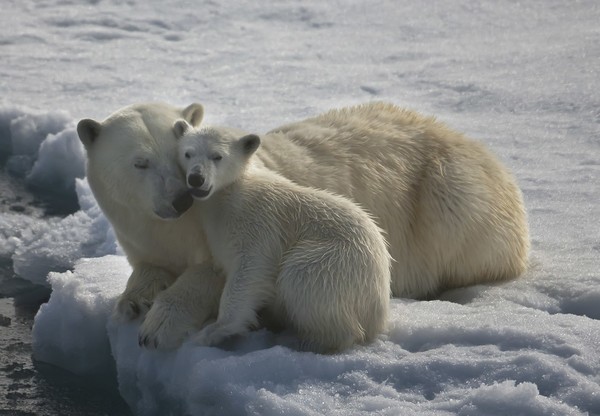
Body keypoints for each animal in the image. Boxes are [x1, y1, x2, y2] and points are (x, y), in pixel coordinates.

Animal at [76, 102, 528, 350]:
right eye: (140, 162)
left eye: (173, 154)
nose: (182, 197)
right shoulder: (140, 230)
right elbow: (149, 265)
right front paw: (132, 302)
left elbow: (222, 274)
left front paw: (158, 328)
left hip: (449, 204)